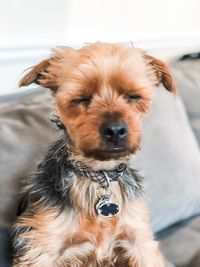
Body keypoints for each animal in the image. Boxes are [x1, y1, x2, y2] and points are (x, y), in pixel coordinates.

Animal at [12, 42, 176, 267]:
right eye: (81, 98)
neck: (99, 174)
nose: (115, 130)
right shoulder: (41, 248)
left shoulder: (139, 242)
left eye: (133, 96)